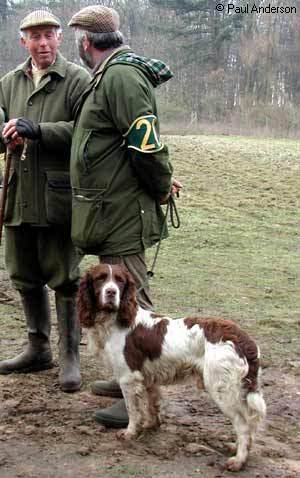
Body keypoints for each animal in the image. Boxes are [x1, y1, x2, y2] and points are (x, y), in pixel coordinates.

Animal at [77, 264, 264, 472]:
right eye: (100, 278)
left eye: (120, 281)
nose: (111, 292)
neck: (114, 320)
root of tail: (241, 338)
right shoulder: (147, 378)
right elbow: (152, 404)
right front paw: (151, 425)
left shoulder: (128, 377)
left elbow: (133, 410)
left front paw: (130, 433)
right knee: (249, 422)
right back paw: (237, 447)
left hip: (222, 388)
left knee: (243, 425)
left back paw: (238, 460)